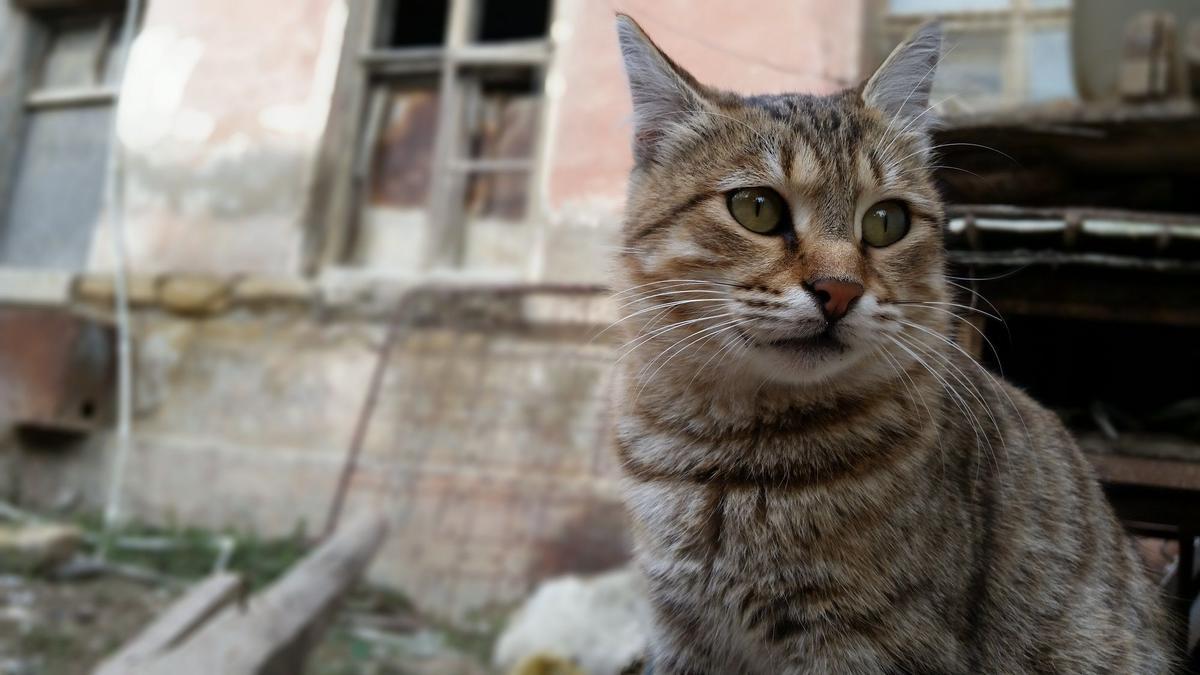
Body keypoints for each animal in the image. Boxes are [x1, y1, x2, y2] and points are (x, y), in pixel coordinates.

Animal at [614, 15, 1176, 672]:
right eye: (755, 208)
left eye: (887, 221)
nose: (838, 289)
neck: (728, 463)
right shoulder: (680, 633)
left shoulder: (870, 643)